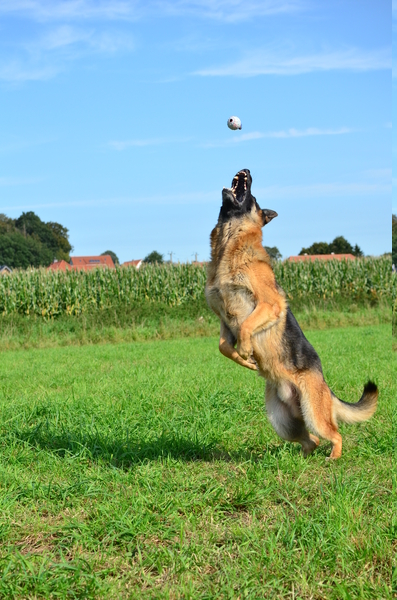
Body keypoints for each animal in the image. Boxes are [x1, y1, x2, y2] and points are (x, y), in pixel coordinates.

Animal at [206, 169, 376, 460]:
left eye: (252, 196)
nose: (247, 170)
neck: (230, 244)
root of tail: (326, 386)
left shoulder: (269, 304)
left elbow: (247, 326)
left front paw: (246, 349)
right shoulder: (224, 322)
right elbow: (223, 347)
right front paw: (245, 360)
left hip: (314, 414)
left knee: (335, 434)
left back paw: (333, 457)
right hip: (282, 422)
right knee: (311, 440)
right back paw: (304, 459)